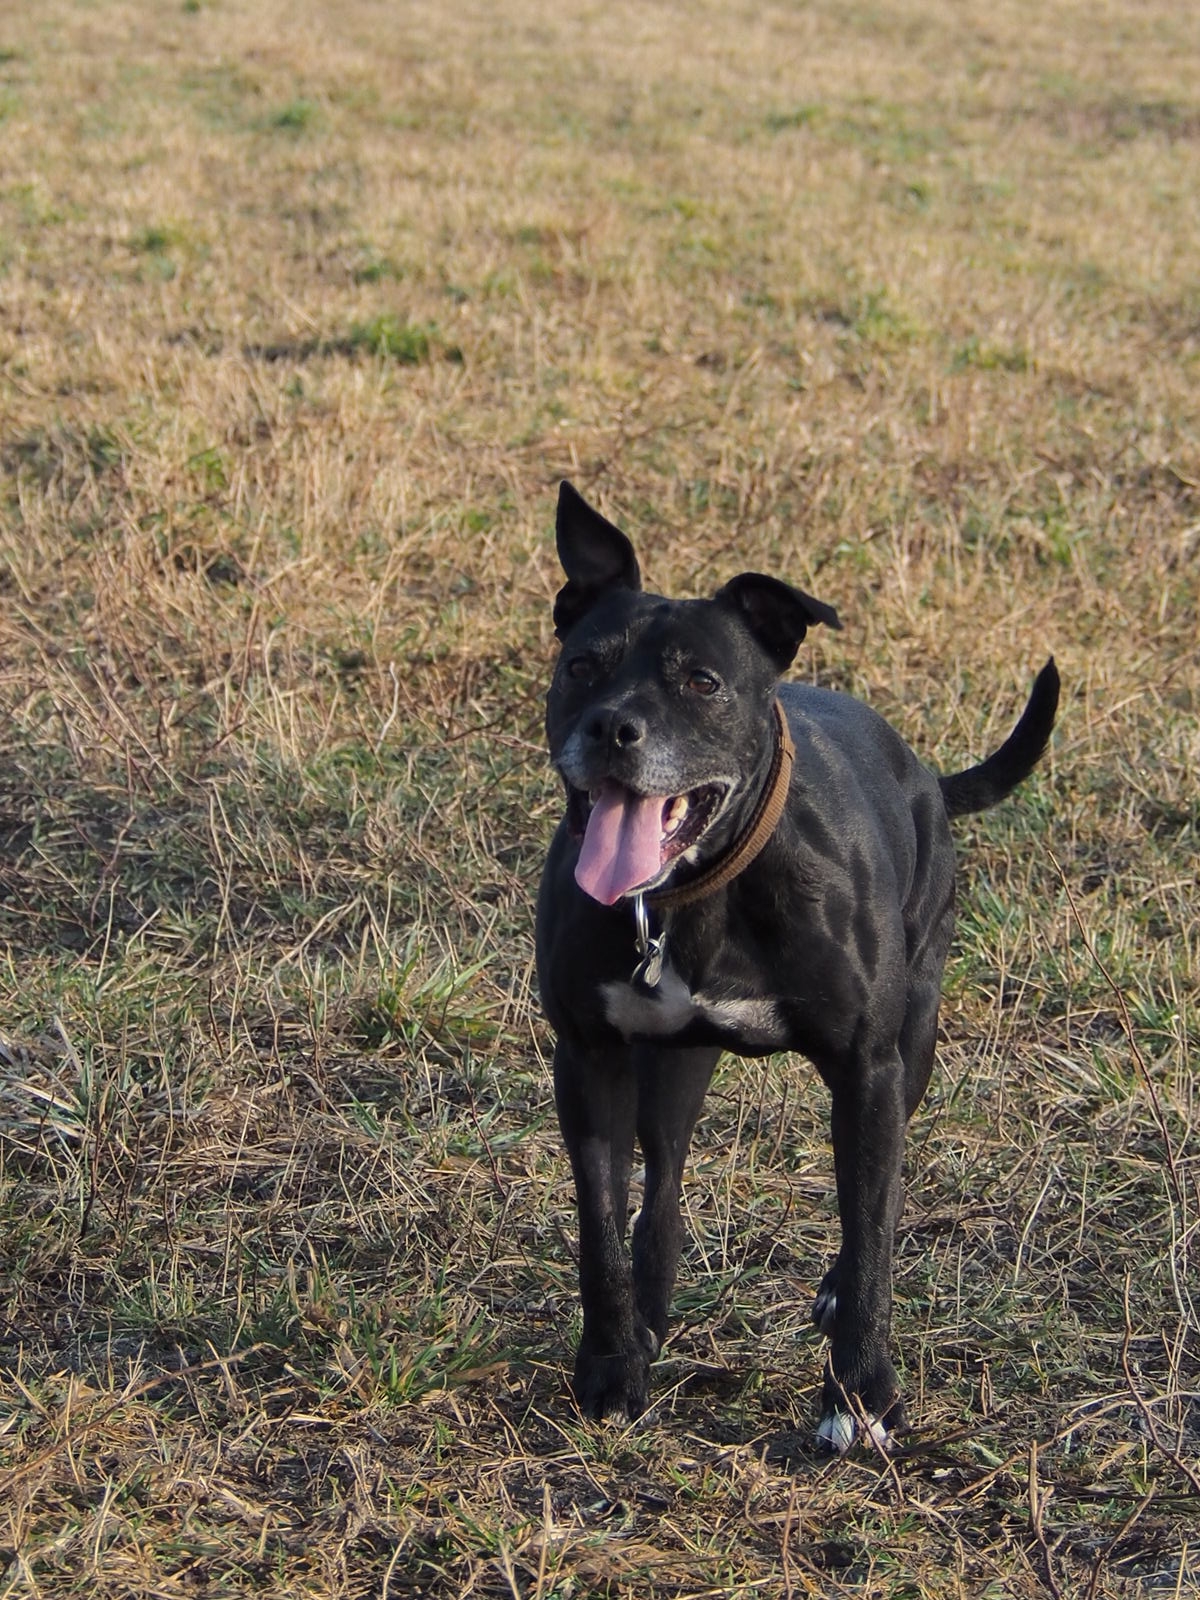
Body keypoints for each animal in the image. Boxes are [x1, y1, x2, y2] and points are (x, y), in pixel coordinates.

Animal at [535, 481, 1058, 1451]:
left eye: (701, 682)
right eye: (583, 666)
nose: (611, 727)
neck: (697, 895)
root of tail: (926, 775)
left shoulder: (869, 1071)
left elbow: (873, 1227)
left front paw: (862, 1394)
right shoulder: (588, 1059)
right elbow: (601, 1229)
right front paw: (612, 1365)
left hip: (916, 1040)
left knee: (865, 1210)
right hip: (672, 1064)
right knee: (663, 1185)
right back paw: (653, 1312)